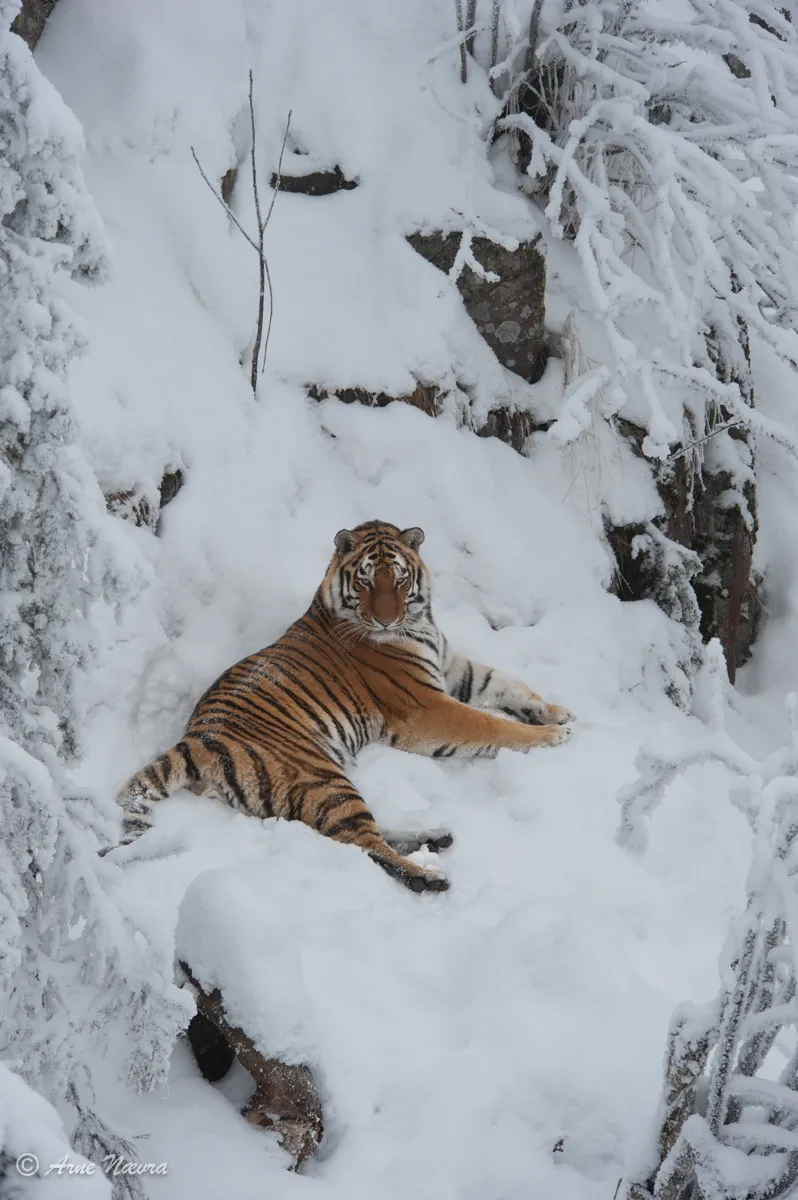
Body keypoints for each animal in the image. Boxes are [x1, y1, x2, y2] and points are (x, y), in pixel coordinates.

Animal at [109, 520, 574, 892]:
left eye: (399, 580)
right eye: (366, 581)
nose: (386, 619)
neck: (420, 625)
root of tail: (195, 738)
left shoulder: (451, 667)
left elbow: (506, 683)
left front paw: (556, 712)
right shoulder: (427, 706)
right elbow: (489, 724)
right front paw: (554, 736)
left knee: (361, 833)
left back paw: (435, 837)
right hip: (320, 777)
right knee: (360, 842)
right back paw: (429, 876)